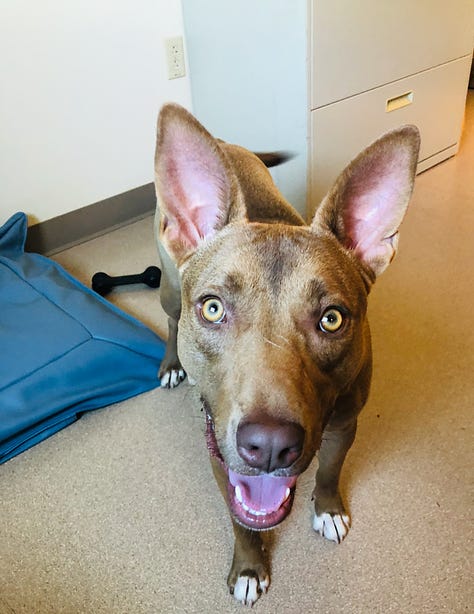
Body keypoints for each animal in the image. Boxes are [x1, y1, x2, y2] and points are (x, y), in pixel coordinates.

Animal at [154, 102, 420, 608]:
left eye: (332, 319)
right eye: (213, 308)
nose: (270, 445)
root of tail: (227, 143)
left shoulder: (344, 423)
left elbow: (330, 471)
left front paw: (329, 510)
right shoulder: (217, 447)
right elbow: (240, 518)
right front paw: (248, 568)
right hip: (169, 287)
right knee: (169, 319)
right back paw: (172, 365)